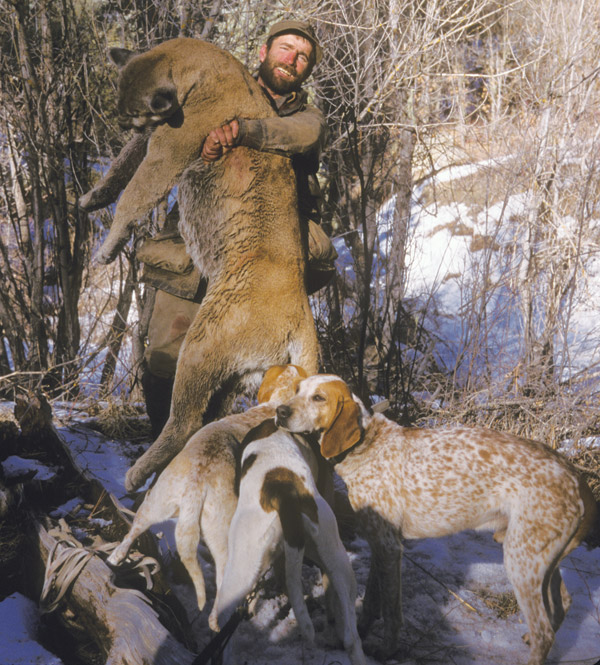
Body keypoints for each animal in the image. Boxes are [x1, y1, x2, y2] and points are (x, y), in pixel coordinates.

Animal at [106, 364, 310, 628]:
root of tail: (197, 485)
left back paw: (116, 557)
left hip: (153, 504)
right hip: (224, 537)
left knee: (131, 534)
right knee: (224, 581)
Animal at [274, 374, 596, 664]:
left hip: (521, 562)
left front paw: (387, 651)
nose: (280, 411)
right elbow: (371, 601)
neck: (367, 444)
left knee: (545, 632)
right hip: (540, 559)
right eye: (297, 390)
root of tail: (575, 477)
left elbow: (391, 612)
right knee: (562, 604)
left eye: (319, 398)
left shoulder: (390, 548)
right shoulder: (380, 543)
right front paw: (363, 633)